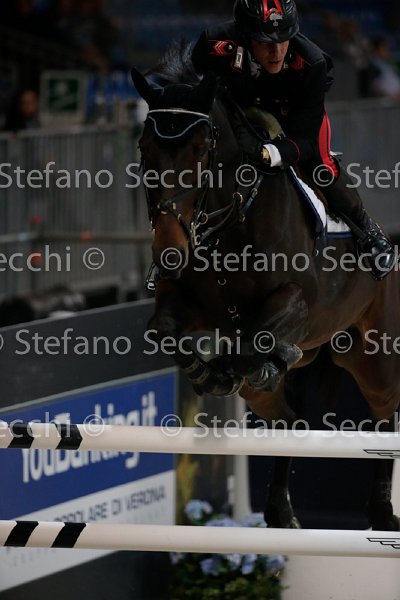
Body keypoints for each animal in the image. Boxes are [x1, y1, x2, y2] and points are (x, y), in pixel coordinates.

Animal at [131, 45, 400, 531]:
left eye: (201, 150)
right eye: (145, 149)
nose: (170, 252)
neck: (228, 221)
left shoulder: (296, 304)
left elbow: (253, 342)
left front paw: (247, 361)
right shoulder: (180, 303)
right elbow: (164, 331)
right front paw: (208, 372)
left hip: (374, 358)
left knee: (383, 418)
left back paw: (382, 514)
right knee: (290, 423)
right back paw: (280, 513)